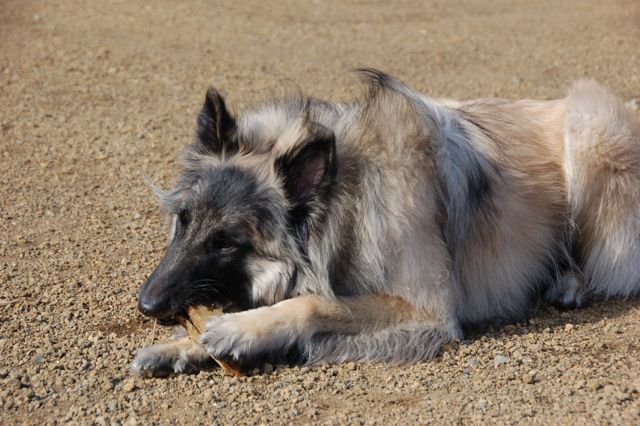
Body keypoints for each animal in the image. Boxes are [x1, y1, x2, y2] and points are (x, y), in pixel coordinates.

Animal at [130, 70, 640, 376]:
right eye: (183, 222)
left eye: (226, 243)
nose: (147, 305)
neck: (348, 193)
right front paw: (181, 347)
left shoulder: (426, 310)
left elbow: (314, 303)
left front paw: (239, 330)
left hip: (589, 128)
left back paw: (569, 283)